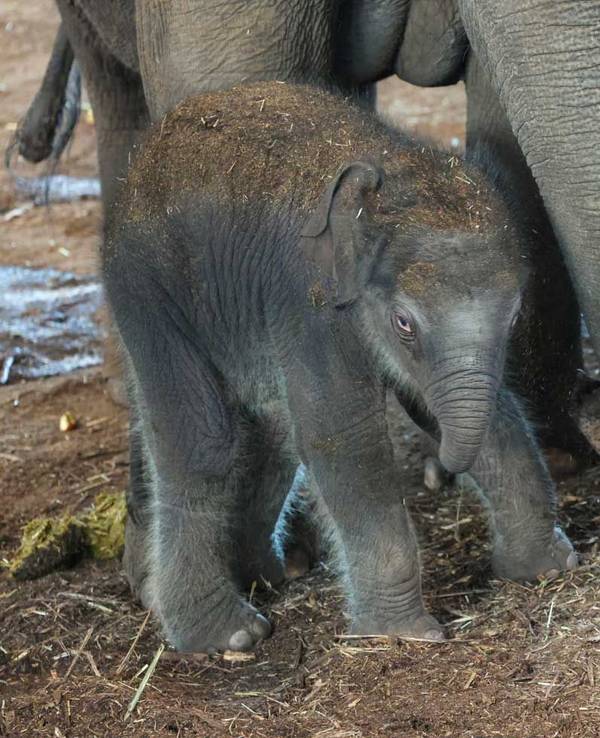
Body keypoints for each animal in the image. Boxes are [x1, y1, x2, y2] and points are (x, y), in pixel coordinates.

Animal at [103, 82, 577, 652]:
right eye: (404, 323)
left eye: (514, 314)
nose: (441, 471)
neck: (391, 173)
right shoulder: (308, 303)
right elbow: (342, 437)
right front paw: (406, 635)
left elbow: (468, 407)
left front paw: (547, 569)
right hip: (150, 291)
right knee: (204, 444)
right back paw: (230, 636)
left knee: (272, 432)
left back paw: (269, 576)